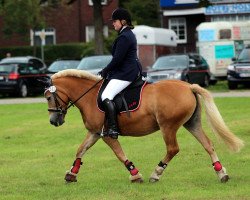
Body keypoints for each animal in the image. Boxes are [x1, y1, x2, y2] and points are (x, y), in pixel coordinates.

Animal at [43, 69, 244, 184]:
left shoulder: (107, 134)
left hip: (168, 126)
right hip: (191, 123)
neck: (90, 96)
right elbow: (80, 150)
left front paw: (135, 174)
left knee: (173, 149)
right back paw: (221, 173)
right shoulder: (94, 132)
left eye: (48, 97)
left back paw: (156, 173)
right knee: (208, 145)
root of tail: (188, 87)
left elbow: (120, 154)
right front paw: (72, 174)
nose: (53, 121)